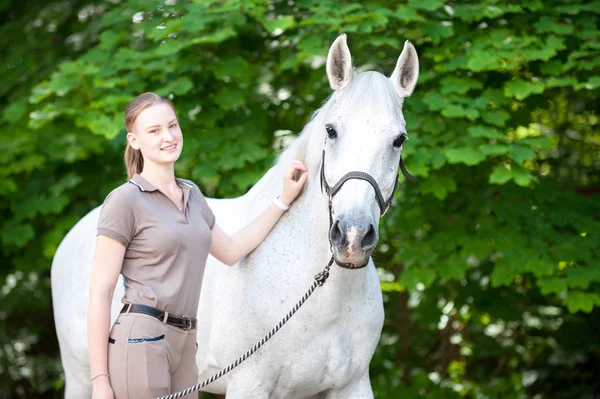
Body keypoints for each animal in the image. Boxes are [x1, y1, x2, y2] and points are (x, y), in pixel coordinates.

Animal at [50, 35, 418, 399]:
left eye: (398, 140)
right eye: (331, 131)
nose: (353, 236)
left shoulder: (352, 386)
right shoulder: (249, 384)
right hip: (82, 378)